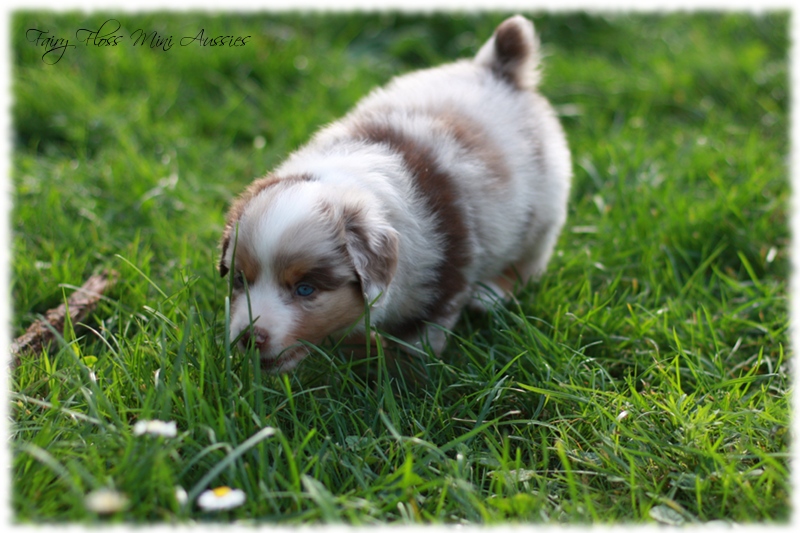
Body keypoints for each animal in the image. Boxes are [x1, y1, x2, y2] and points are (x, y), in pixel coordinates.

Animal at [217, 14, 568, 372]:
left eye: (305, 289)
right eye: (240, 280)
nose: (249, 338)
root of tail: (498, 68)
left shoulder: (440, 286)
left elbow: (418, 344)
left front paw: (404, 375)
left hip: (544, 212)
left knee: (527, 263)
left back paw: (490, 294)